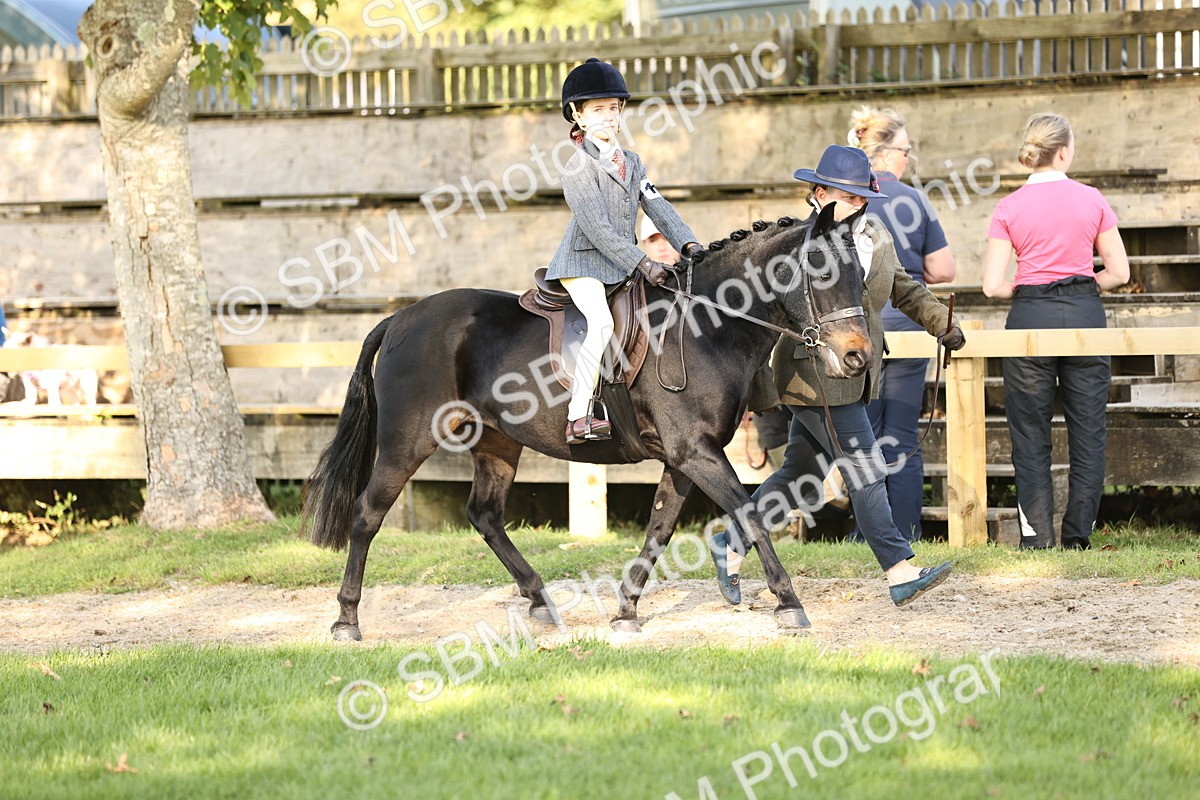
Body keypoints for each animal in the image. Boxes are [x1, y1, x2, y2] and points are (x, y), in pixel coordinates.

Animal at [302, 202, 872, 641]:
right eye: (822, 272)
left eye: (861, 277)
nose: (858, 358)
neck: (703, 326)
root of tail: (401, 317)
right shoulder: (696, 452)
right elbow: (749, 513)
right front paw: (789, 603)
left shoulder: (685, 459)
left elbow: (660, 528)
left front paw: (625, 612)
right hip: (407, 441)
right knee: (367, 513)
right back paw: (347, 620)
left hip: (497, 444)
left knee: (484, 515)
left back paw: (540, 602)